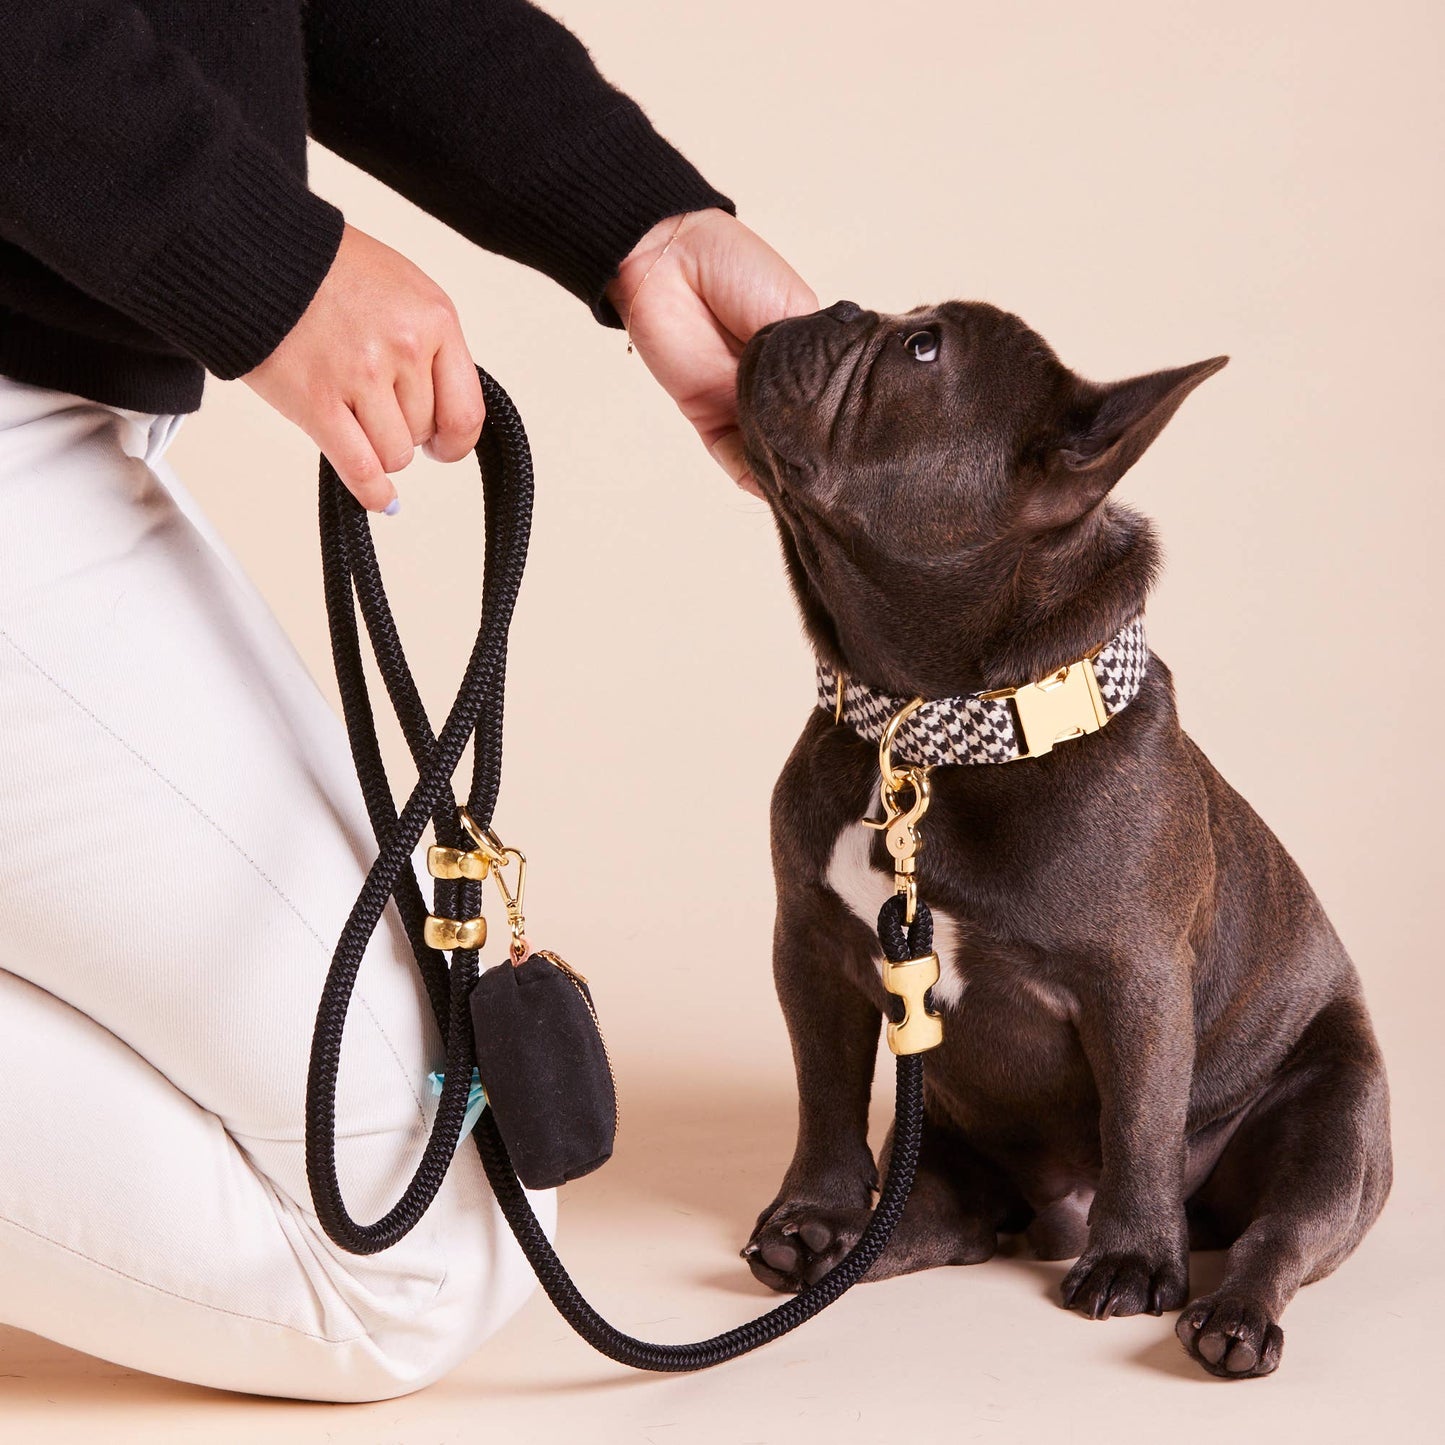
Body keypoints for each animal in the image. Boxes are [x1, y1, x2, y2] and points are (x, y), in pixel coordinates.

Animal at [734, 302, 1387, 1375]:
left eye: (922, 348)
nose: (831, 308)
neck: (931, 727)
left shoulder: (1135, 981)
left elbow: (1138, 1119)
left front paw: (1131, 1259)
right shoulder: (813, 947)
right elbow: (823, 1090)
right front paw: (813, 1209)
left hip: (1338, 1115)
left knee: (1280, 1229)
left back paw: (1229, 1313)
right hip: (943, 1148)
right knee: (937, 1223)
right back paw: (834, 1246)